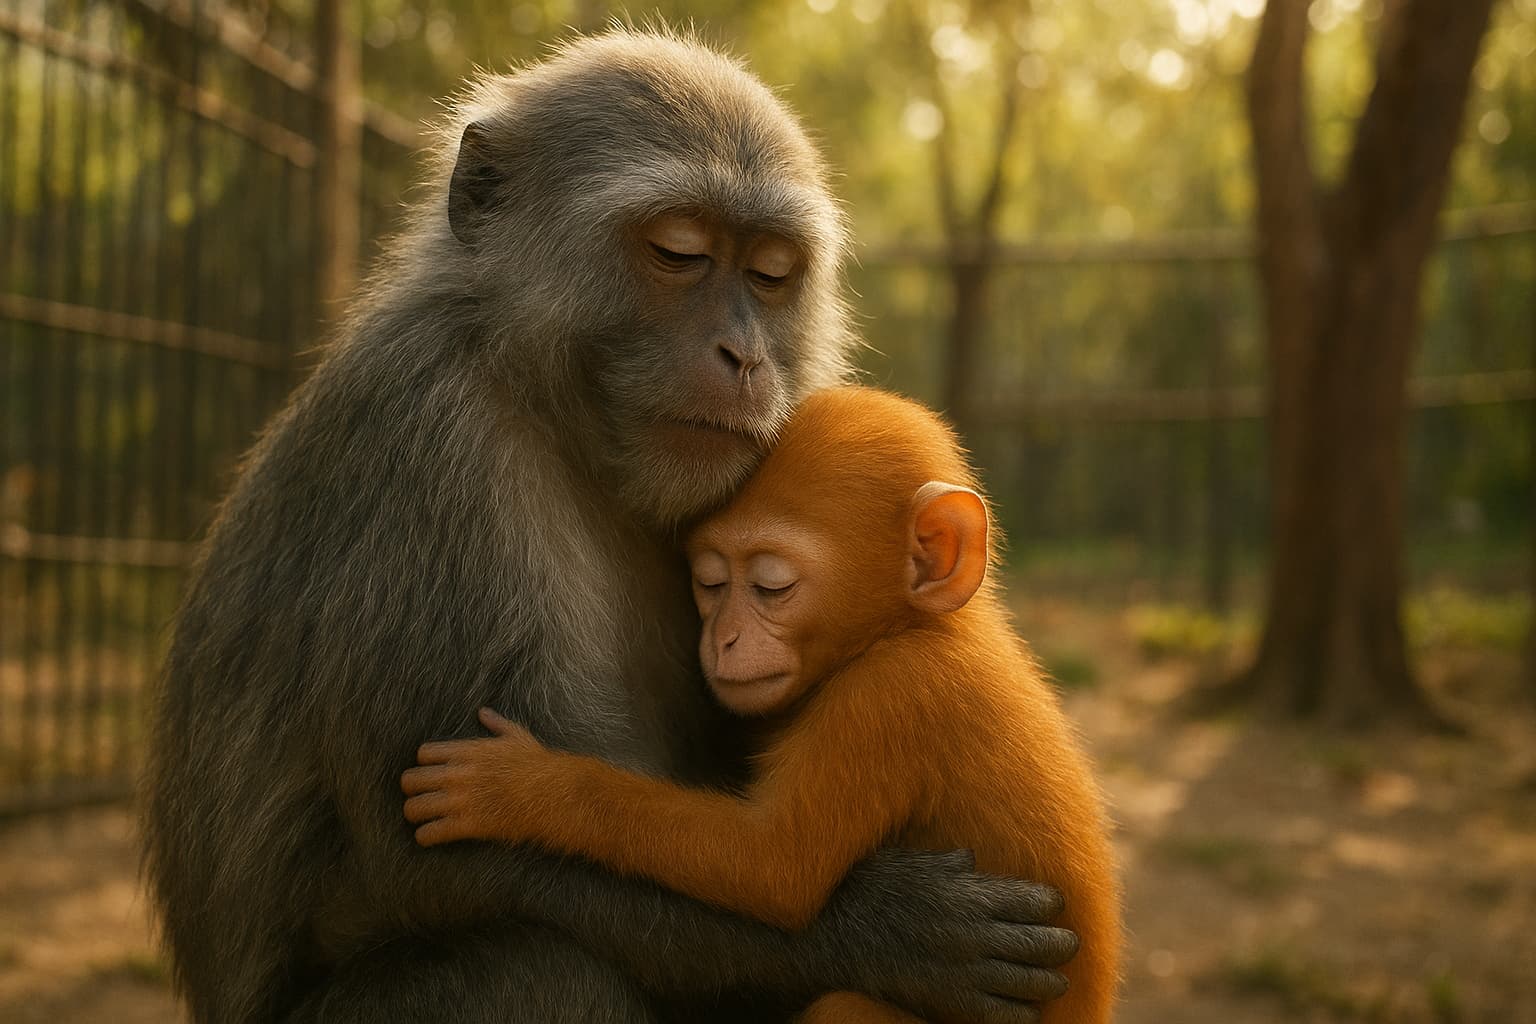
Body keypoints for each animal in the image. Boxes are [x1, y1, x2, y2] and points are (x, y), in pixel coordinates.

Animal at [401, 386, 1122, 1024]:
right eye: (710, 582)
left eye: (772, 586)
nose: (721, 638)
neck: (911, 629)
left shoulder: (887, 697)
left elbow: (774, 866)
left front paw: (522, 786)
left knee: (842, 1005)